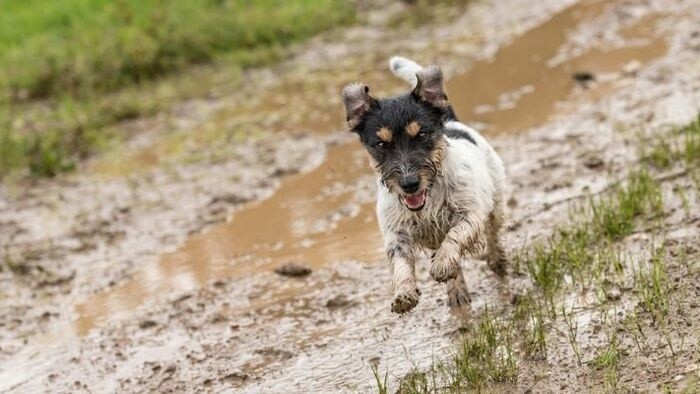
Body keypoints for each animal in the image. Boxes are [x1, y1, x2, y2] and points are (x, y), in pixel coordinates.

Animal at [342, 56, 506, 314]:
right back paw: (457, 292)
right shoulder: (396, 233)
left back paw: (496, 261)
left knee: (493, 233)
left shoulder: (470, 214)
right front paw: (403, 292)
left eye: (421, 135)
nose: (409, 184)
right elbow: (400, 263)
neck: (429, 197)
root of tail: (449, 120)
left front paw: (443, 264)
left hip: (496, 203)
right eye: (381, 144)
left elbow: (455, 236)